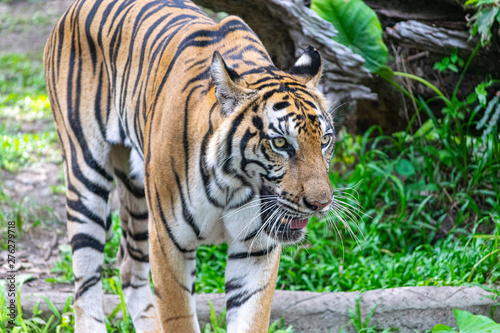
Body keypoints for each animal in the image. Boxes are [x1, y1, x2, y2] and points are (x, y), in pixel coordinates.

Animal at [43, 0, 336, 330]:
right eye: (281, 143)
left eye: (325, 140)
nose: (321, 204)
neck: (232, 184)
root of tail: (75, 7)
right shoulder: (169, 242)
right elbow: (178, 316)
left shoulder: (256, 251)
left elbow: (251, 318)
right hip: (86, 174)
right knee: (85, 279)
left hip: (137, 192)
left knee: (129, 266)